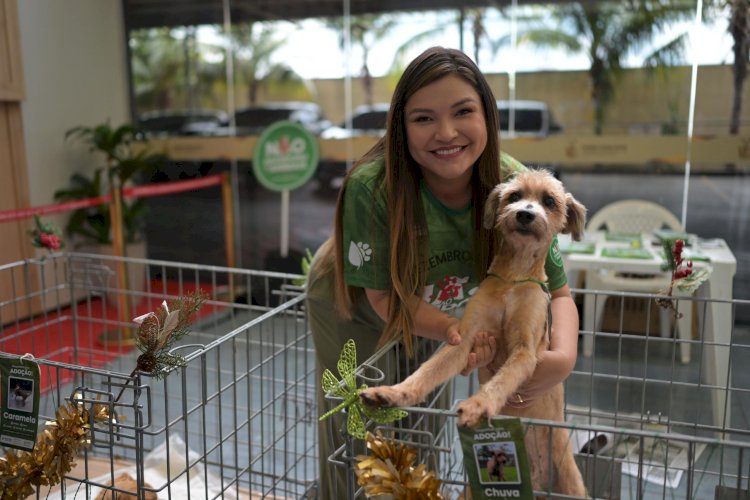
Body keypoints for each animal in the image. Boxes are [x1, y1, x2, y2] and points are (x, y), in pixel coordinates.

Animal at [362, 168, 592, 496]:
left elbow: (500, 382)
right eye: (514, 196)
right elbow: (426, 373)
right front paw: (394, 393)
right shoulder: (465, 338)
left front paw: (478, 405)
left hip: (570, 481)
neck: (514, 277)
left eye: (549, 201)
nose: (524, 214)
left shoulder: (525, 350)